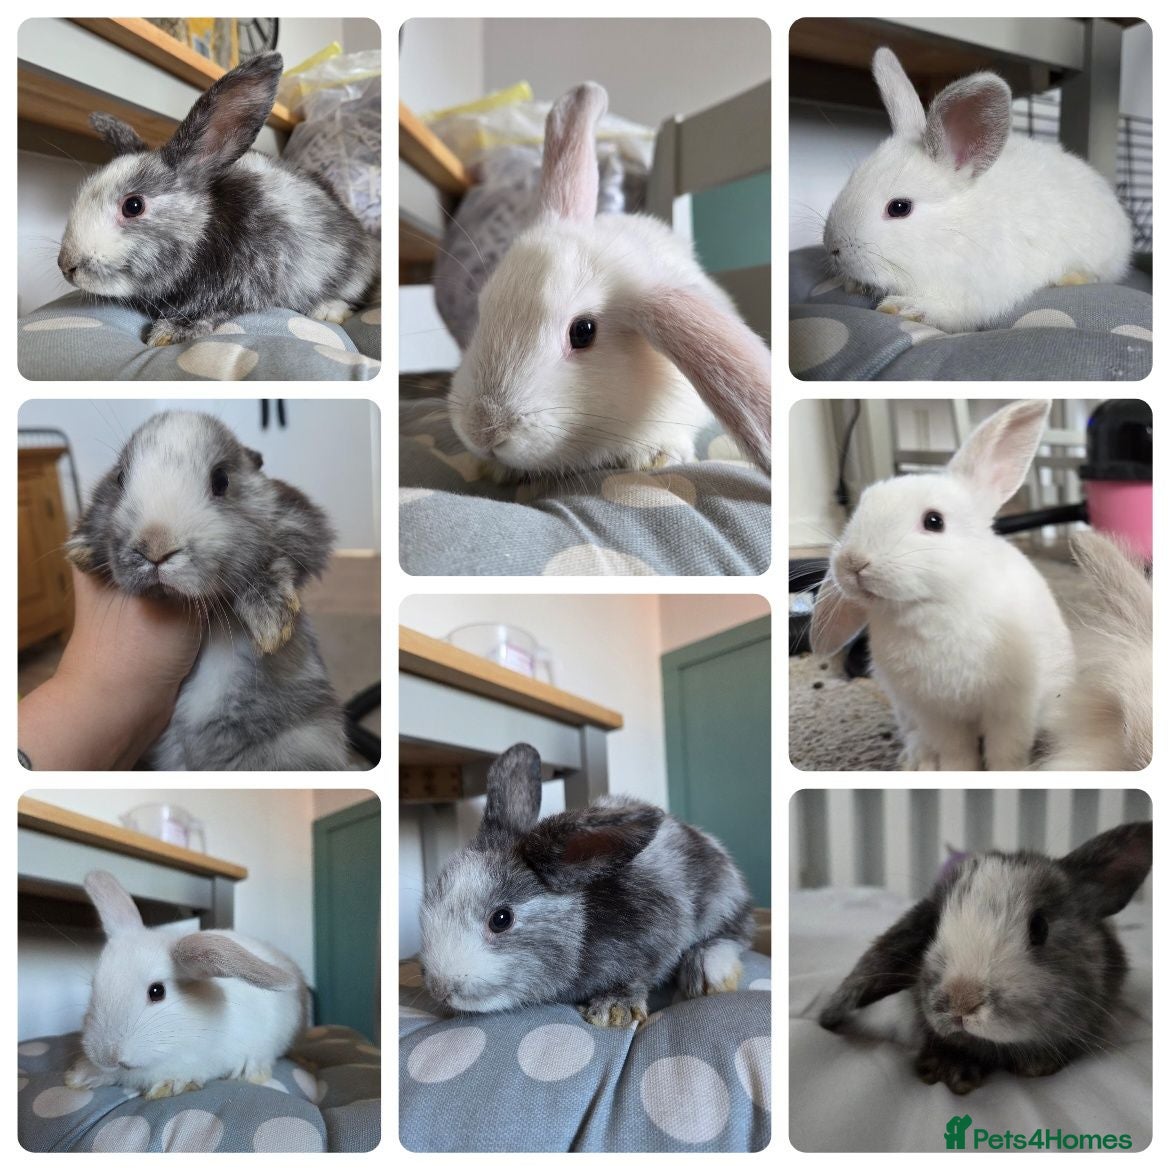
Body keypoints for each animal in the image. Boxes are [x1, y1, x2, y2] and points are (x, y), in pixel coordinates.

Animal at [56, 52, 379, 348]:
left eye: (133, 206)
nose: (66, 266)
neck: (204, 231)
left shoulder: (241, 285)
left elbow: (212, 310)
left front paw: (170, 333)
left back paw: (327, 310)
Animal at [66, 410, 349, 770]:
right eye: (119, 478)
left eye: (221, 481)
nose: (156, 548)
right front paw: (81, 548)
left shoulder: (299, 526)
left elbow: (269, 565)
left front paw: (272, 625)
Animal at [419, 743, 755, 1026]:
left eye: (501, 919)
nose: (439, 989)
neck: (585, 923)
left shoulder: (661, 932)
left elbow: (638, 975)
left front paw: (613, 1008)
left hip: (722, 900)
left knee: (733, 935)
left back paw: (710, 971)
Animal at [810, 399, 1074, 770]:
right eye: (859, 509)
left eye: (934, 521)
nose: (853, 562)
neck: (933, 605)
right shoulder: (936, 714)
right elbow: (956, 751)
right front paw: (954, 771)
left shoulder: (1011, 707)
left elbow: (1005, 750)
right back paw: (918, 760)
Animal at [823, 48, 1132, 333]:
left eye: (899, 207)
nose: (832, 247)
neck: (954, 231)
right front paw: (852, 284)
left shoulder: (974, 292)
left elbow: (951, 310)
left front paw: (905, 307)